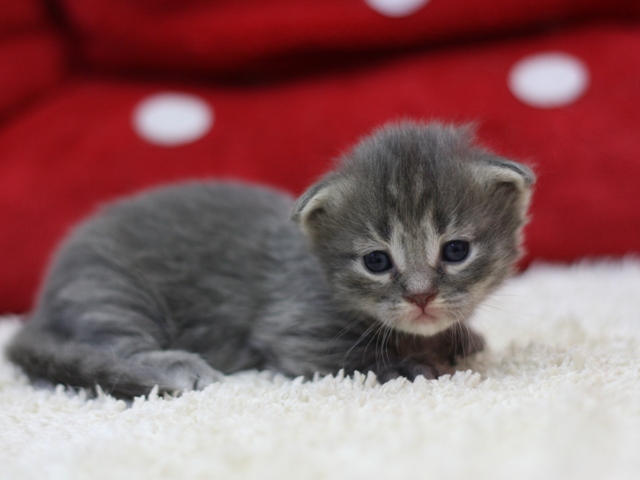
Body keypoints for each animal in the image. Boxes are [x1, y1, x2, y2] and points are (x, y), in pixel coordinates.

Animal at [7, 121, 536, 398]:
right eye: (376, 262)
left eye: (455, 251)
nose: (422, 297)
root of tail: (45, 301)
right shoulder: (294, 328)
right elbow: (353, 357)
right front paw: (407, 366)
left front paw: (459, 337)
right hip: (109, 289)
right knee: (114, 343)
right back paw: (175, 365)